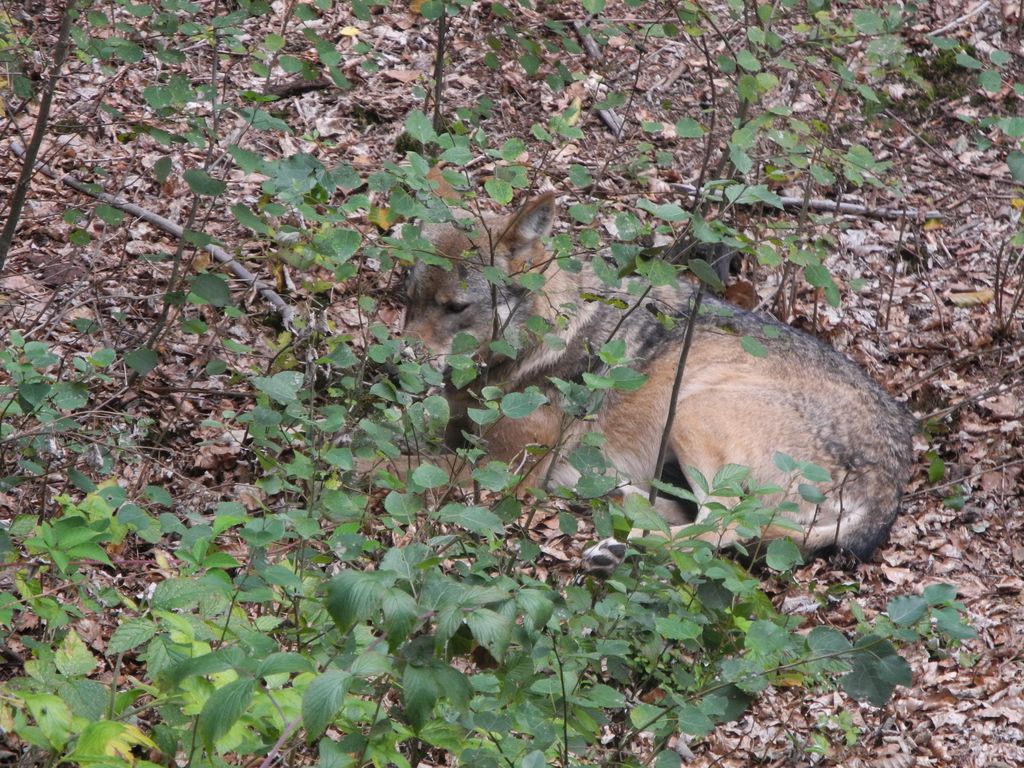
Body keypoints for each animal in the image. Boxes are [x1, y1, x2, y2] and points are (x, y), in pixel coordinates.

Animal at [395, 195, 917, 573]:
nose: (395, 369)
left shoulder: (499, 469)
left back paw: (617, 550)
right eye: (409, 300)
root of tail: (890, 489)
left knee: (722, 530)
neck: (548, 338)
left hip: (693, 408)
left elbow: (394, 464)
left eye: (456, 307)